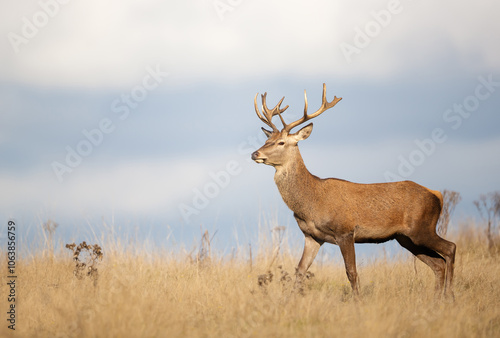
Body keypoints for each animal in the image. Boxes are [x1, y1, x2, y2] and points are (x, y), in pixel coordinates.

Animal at [252, 83, 456, 300]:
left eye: (281, 142)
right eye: (268, 139)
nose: (255, 153)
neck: (312, 202)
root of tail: (437, 195)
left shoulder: (345, 231)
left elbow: (351, 271)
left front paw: (357, 301)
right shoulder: (312, 236)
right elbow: (300, 270)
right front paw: (291, 300)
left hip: (422, 228)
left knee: (450, 248)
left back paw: (449, 295)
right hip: (406, 238)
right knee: (438, 264)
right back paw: (437, 298)